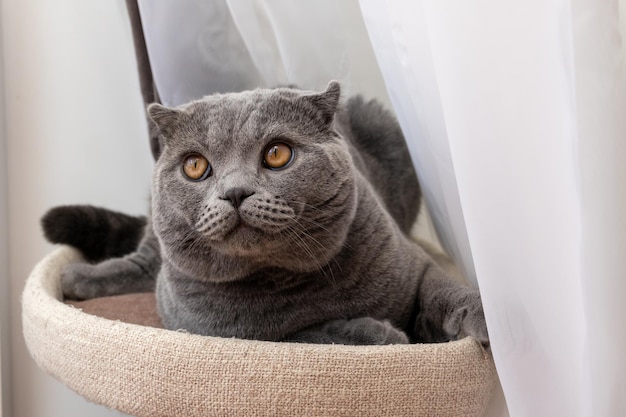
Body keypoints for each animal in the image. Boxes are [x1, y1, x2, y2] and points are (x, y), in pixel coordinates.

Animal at [42, 81, 488, 344]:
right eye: (194, 166)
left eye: (277, 154)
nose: (235, 192)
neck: (283, 283)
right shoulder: (221, 333)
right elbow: (303, 335)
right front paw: (379, 333)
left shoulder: (417, 265)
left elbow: (444, 289)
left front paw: (484, 319)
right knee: (147, 262)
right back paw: (78, 277)